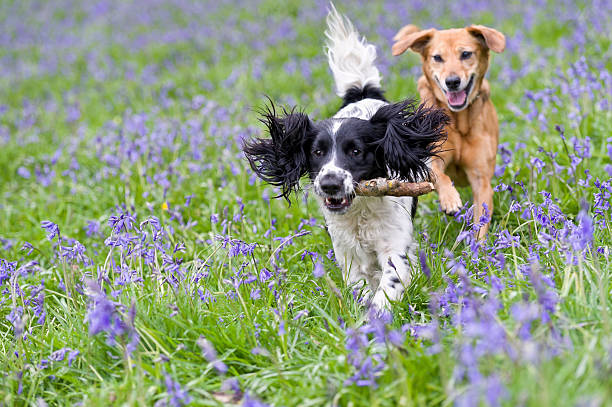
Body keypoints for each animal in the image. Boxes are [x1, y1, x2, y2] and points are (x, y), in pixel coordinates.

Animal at [244, 7, 450, 310]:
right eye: (317, 152)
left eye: (355, 151)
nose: (330, 184)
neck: (360, 212)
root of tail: (362, 92)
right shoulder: (347, 251)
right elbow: (358, 285)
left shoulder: (395, 244)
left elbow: (389, 282)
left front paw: (377, 316)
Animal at [394, 23, 504, 237]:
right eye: (437, 57)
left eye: (466, 54)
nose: (452, 81)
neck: (458, 120)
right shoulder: (433, 159)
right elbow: (440, 175)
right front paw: (450, 199)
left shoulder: (481, 179)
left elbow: (481, 219)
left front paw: (478, 245)